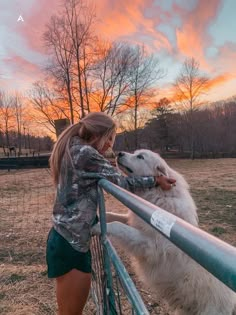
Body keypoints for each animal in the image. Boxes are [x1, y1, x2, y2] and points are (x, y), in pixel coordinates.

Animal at [98, 150, 235, 315]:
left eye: (140, 156)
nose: (119, 153)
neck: (159, 195)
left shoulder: (151, 246)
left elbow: (117, 225)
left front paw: (97, 228)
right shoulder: (135, 222)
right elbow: (114, 216)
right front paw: (97, 219)